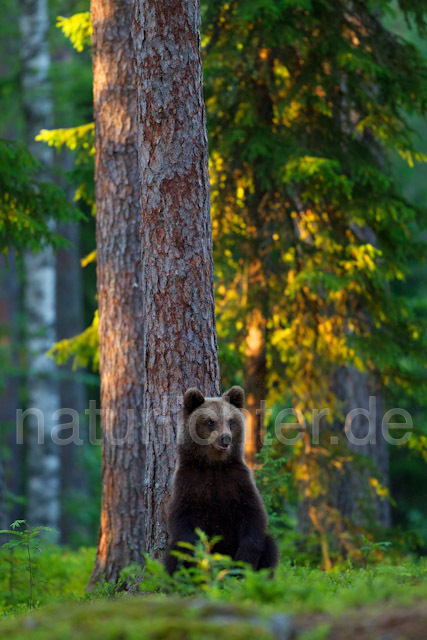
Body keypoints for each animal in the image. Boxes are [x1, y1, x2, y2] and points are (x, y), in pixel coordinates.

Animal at [165, 384, 280, 576]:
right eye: (210, 421)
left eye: (231, 420)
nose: (225, 437)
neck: (214, 465)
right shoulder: (189, 482)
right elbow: (184, 521)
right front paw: (202, 560)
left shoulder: (238, 481)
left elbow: (253, 517)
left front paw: (242, 563)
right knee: (176, 551)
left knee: (270, 544)